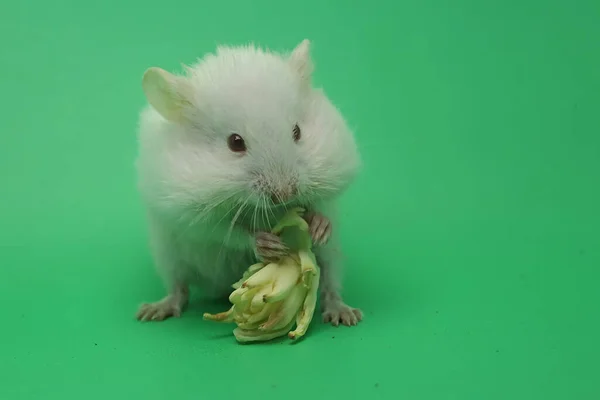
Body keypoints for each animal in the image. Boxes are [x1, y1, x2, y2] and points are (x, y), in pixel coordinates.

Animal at [136, 39, 360, 328]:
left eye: (297, 131)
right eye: (235, 142)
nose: (285, 194)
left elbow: (323, 202)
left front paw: (320, 226)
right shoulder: (191, 215)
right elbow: (228, 231)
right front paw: (268, 244)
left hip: (332, 256)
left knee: (331, 284)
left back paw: (345, 314)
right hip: (168, 256)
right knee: (178, 288)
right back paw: (152, 311)